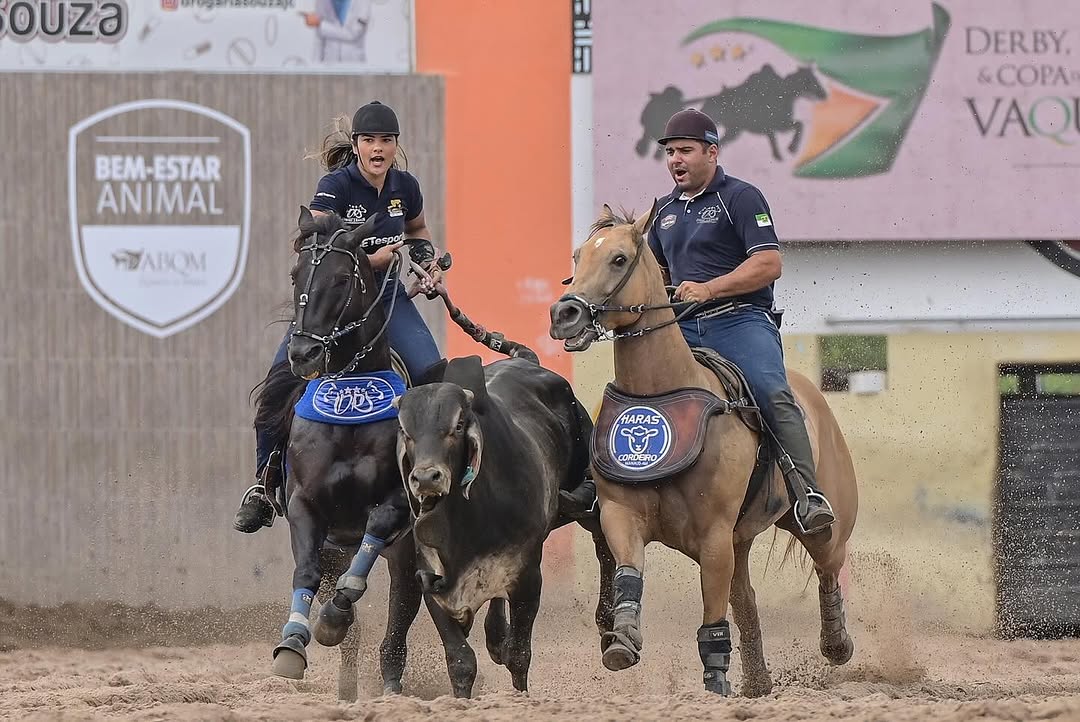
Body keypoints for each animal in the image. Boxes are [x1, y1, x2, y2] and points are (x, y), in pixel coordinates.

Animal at [548, 201, 859, 690]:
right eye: (579, 257)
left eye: (618, 259)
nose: (565, 314)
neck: (664, 393)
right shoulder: (621, 515)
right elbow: (629, 575)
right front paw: (622, 640)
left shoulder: (713, 539)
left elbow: (713, 627)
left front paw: (715, 686)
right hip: (741, 540)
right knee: (747, 600)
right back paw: (758, 682)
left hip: (825, 525)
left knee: (828, 568)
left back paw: (836, 643)